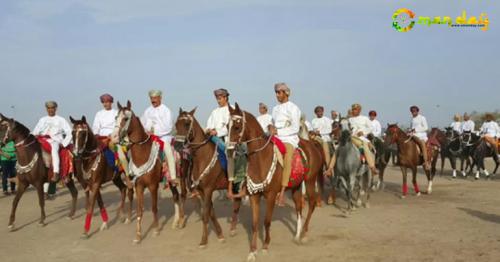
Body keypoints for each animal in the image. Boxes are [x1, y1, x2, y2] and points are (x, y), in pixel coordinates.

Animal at [112, 101, 183, 244]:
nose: (114, 137)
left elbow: (155, 208)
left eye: (125, 118)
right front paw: (138, 236)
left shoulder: (153, 186)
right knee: (176, 196)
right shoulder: (139, 186)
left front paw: (156, 230)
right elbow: (139, 210)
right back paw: (176, 222)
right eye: (116, 117)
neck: (142, 155)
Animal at [174, 108, 242, 248]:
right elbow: (210, 212)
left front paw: (203, 240)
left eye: (187, 124)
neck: (203, 157)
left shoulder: (208, 189)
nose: (177, 146)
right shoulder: (202, 190)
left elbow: (206, 214)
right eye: (176, 124)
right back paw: (233, 229)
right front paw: (220, 235)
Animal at [228, 103, 322, 260]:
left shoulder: (271, 195)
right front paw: (252, 252)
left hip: (309, 181)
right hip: (296, 186)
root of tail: (313, 146)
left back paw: (304, 235)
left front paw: (265, 245)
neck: (261, 158)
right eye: (226, 125)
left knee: (312, 203)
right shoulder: (254, 195)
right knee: (298, 207)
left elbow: (266, 221)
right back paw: (297, 235)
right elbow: (254, 223)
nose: (229, 150)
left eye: (236, 126)